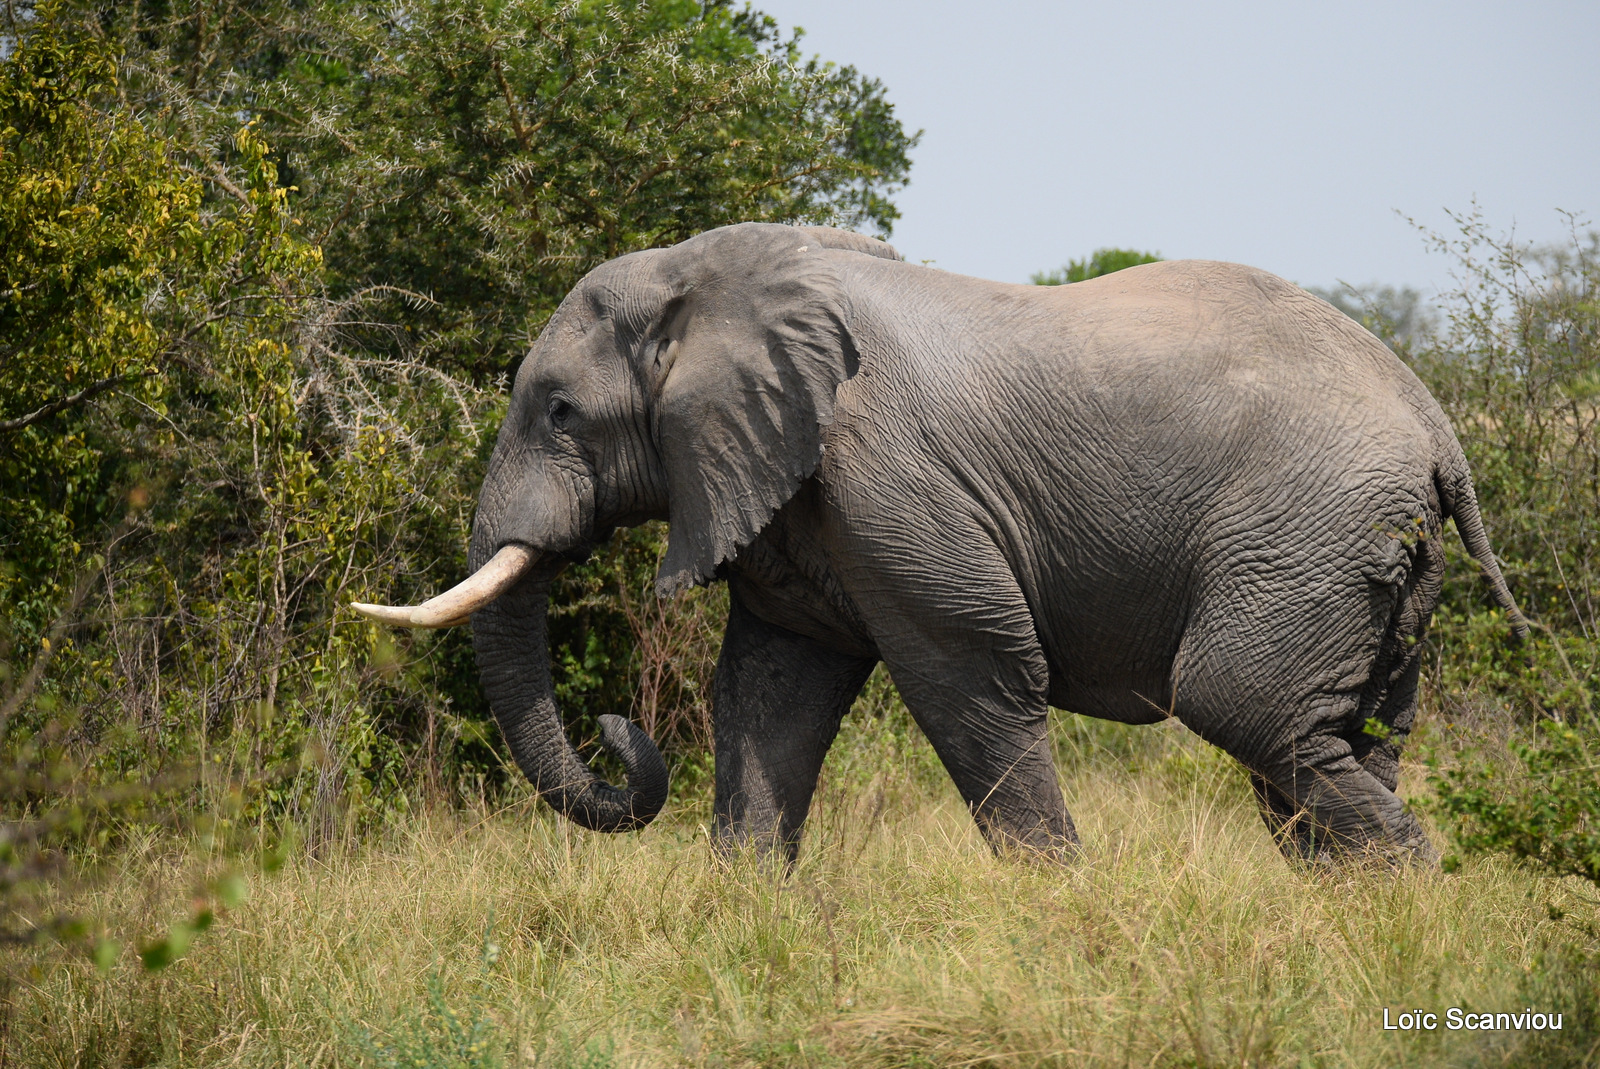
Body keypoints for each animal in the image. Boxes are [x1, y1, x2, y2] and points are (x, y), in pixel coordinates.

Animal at [356, 220, 1529, 864]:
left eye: (559, 411)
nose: (616, 729)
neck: (713, 273)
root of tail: (1436, 427)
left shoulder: (883, 475)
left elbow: (969, 672)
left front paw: (1064, 910)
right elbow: (770, 692)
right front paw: (743, 920)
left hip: (1308, 529)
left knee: (1242, 705)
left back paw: (1415, 895)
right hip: (1367, 554)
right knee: (1344, 736)